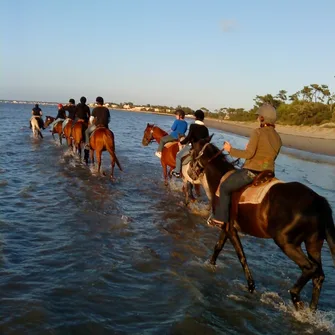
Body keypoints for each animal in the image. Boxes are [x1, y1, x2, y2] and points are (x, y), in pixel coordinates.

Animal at [192, 136, 335, 312]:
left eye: (192, 151)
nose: (191, 172)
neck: (220, 179)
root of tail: (319, 201)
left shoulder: (230, 229)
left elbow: (241, 256)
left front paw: (251, 286)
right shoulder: (227, 228)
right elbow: (218, 247)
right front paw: (210, 265)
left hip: (286, 243)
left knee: (310, 268)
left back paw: (295, 296)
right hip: (313, 244)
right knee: (319, 276)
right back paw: (311, 310)